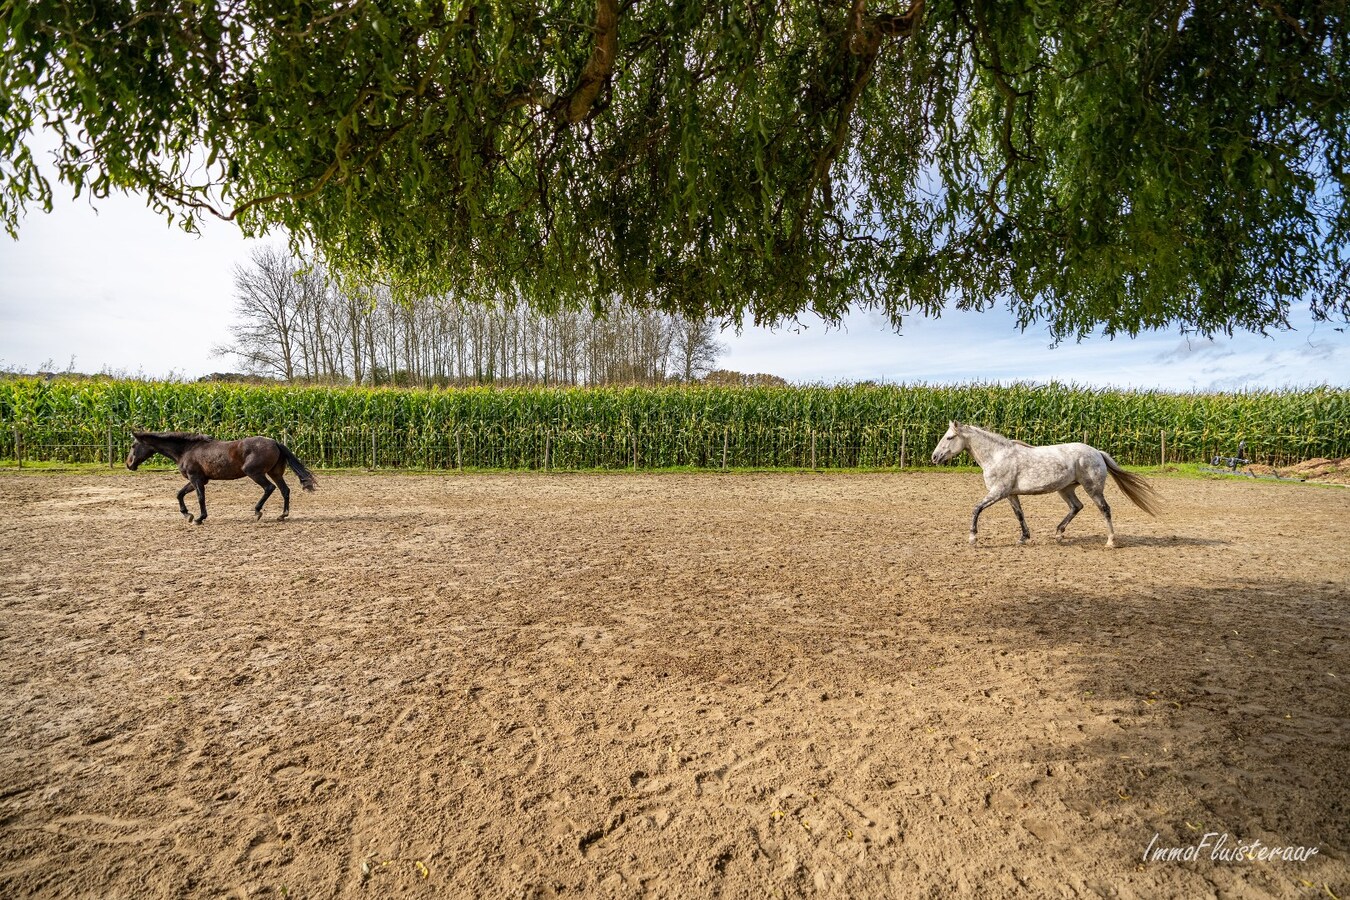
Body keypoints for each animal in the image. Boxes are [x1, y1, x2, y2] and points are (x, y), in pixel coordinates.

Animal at [126, 431, 315, 523]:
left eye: (133, 445)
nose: (129, 464)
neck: (186, 450)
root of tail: (275, 442)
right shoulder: (198, 480)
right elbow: (179, 494)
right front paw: (188, 515)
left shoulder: (196, 479)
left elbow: (200, 497)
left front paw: (199, 518)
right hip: (274, 473)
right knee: (285, 490)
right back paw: (282, 515)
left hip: (255, 473)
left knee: (270, 488)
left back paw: (257, 512)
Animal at [928, 423, 1161, 550]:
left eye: (949, 437)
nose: (934, 457)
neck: (997, 456)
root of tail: (1097, 452)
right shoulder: (1010, 494)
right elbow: (1019, 514)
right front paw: (1023, 538)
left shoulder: (997, 492)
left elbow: (976, 509)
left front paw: (973, 537)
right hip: (1066, 489)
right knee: (1077, 507)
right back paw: (1058, 534)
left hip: (1093, 488)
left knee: (1104, 509)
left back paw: (1111, 541)